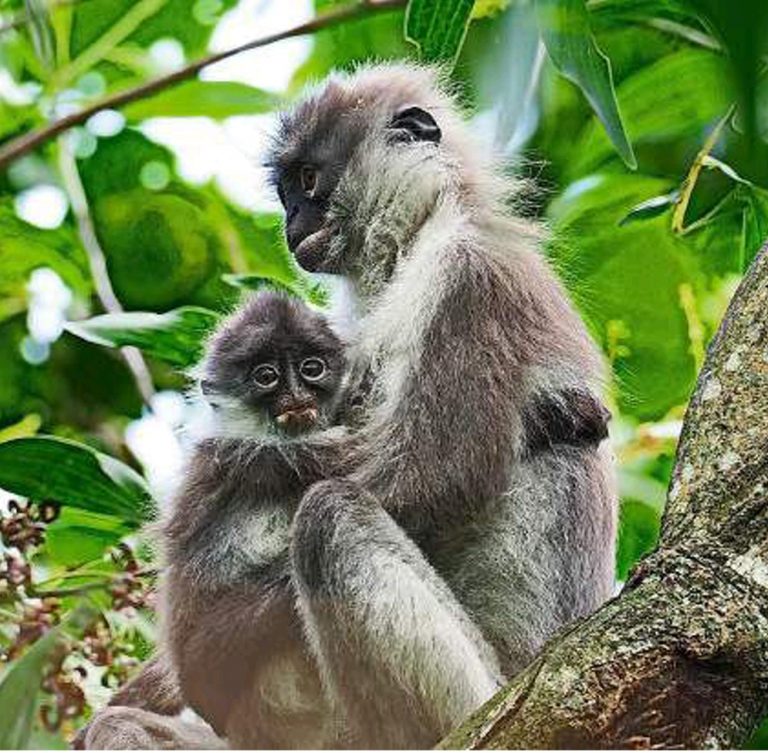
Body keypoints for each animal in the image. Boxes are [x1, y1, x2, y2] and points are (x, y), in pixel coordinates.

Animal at [76, 66, 616, 752]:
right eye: (284, 193)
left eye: (307, 182)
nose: (292, 219)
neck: (420, 239)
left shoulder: (472, 273)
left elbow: (437, 478)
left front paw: (204, 646)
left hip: (485, 695)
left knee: (329, 516)